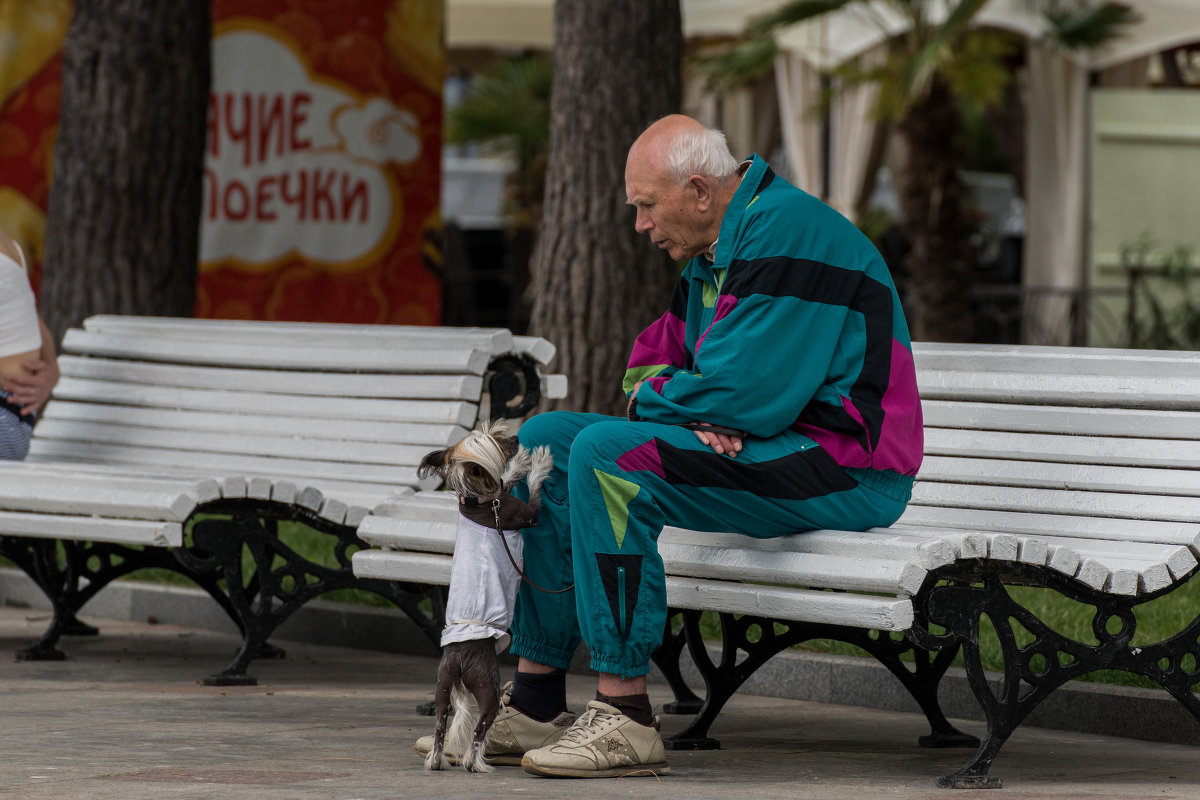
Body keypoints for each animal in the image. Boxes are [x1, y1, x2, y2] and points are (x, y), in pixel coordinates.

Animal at [417, 422, 552, 772]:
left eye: (499, 434)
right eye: (500, 444)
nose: (516, 438)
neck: (477, 500)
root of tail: (459, 657)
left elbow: (506, 481)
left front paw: (520, 465)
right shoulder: (526, 514)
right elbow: (533, 493)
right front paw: (538, 464)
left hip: (442, 687)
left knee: (440, 725)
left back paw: (437, 759)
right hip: (488, 686)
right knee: (480, 727)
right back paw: (473, 761)